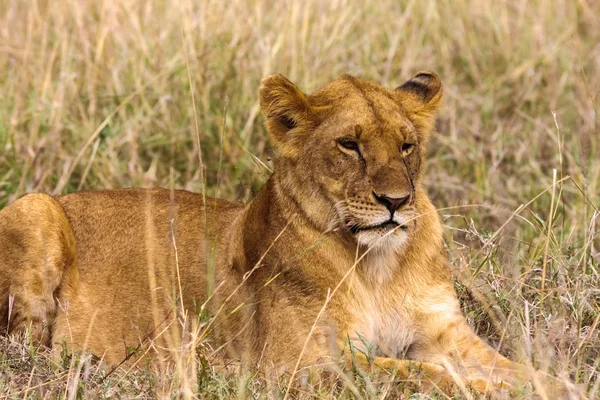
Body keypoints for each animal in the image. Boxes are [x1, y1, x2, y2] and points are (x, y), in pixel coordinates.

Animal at [0, 71, 556, 394]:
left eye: (406, 146)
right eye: (350, 145)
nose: (396, 202)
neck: (378, 264)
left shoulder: (443, 334)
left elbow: (513, 369)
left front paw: (554, 383)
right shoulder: (299, 366)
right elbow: (420, 375)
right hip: (35, 207)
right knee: (29, 349)